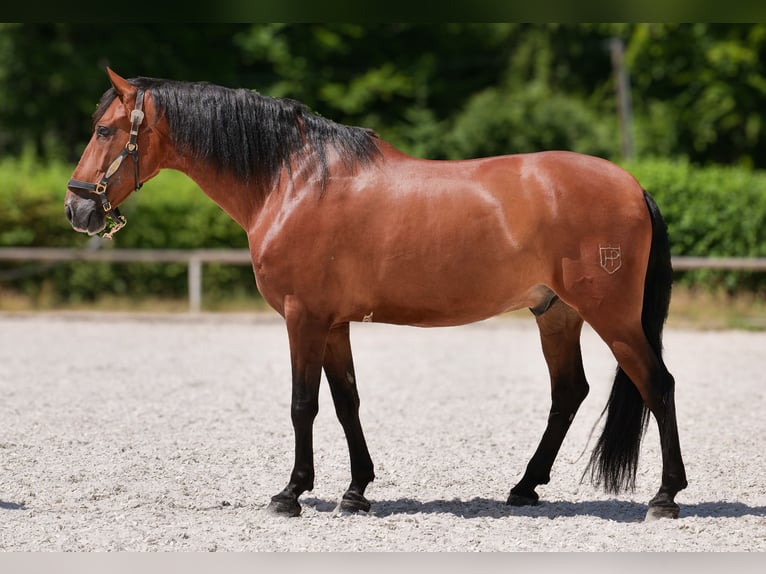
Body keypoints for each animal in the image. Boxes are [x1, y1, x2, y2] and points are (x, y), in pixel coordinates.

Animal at [65, 68, 687, 521]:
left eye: (104, 131)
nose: (76, 208)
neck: (293, 179)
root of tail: (633, 185)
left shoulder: (303, 318)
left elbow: (303, 404)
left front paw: (290, 494)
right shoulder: (333, 323)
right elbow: (347, 402)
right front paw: (356, 491)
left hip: (612, 317)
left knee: (657, 384)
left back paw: (665, 496)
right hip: (555, 314)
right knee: (569, 393)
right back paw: (525, 486)